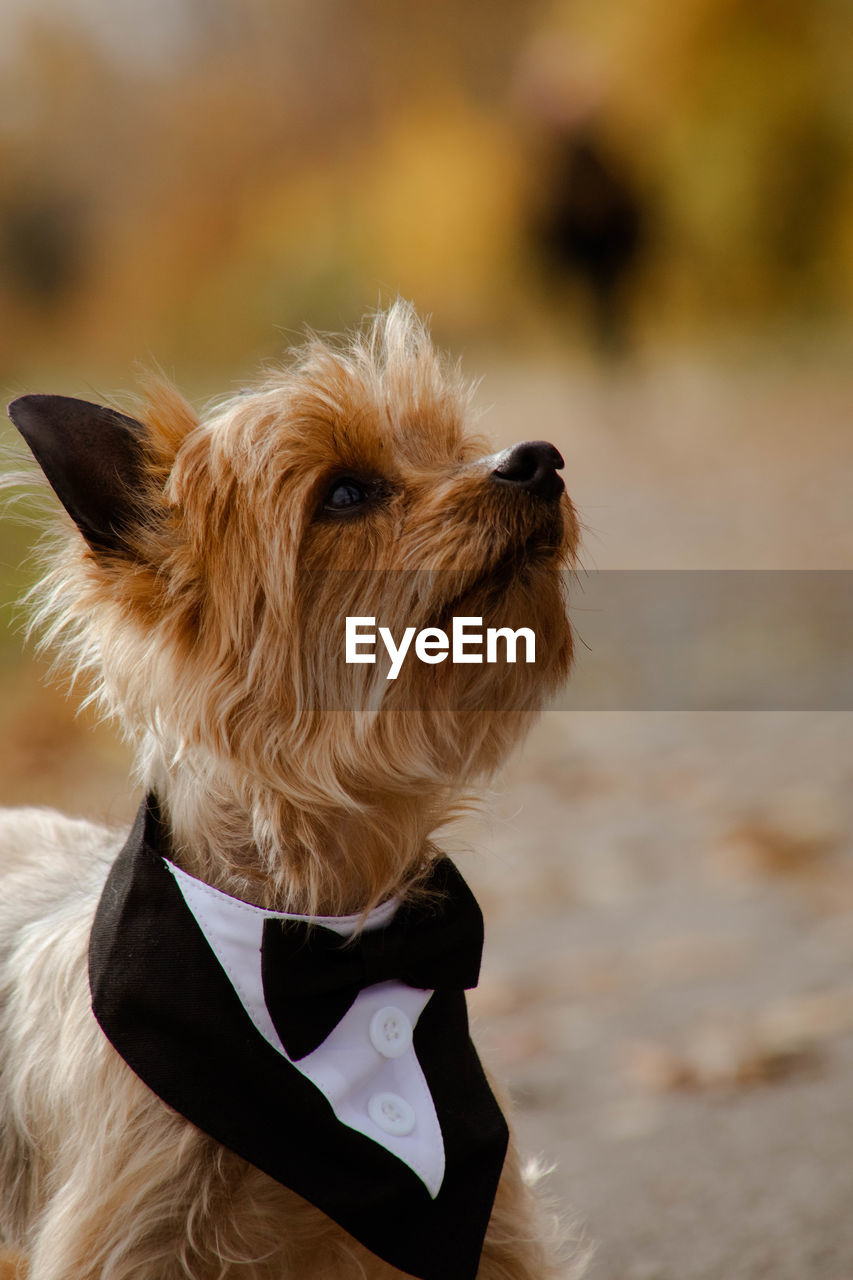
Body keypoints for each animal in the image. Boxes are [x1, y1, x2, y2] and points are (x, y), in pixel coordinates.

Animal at [0, 304, 578, 1274]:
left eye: (454, 448)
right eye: (343, 495)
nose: (537, 460)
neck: (329, 938)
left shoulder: (481, 1220)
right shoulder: (128, 1234)